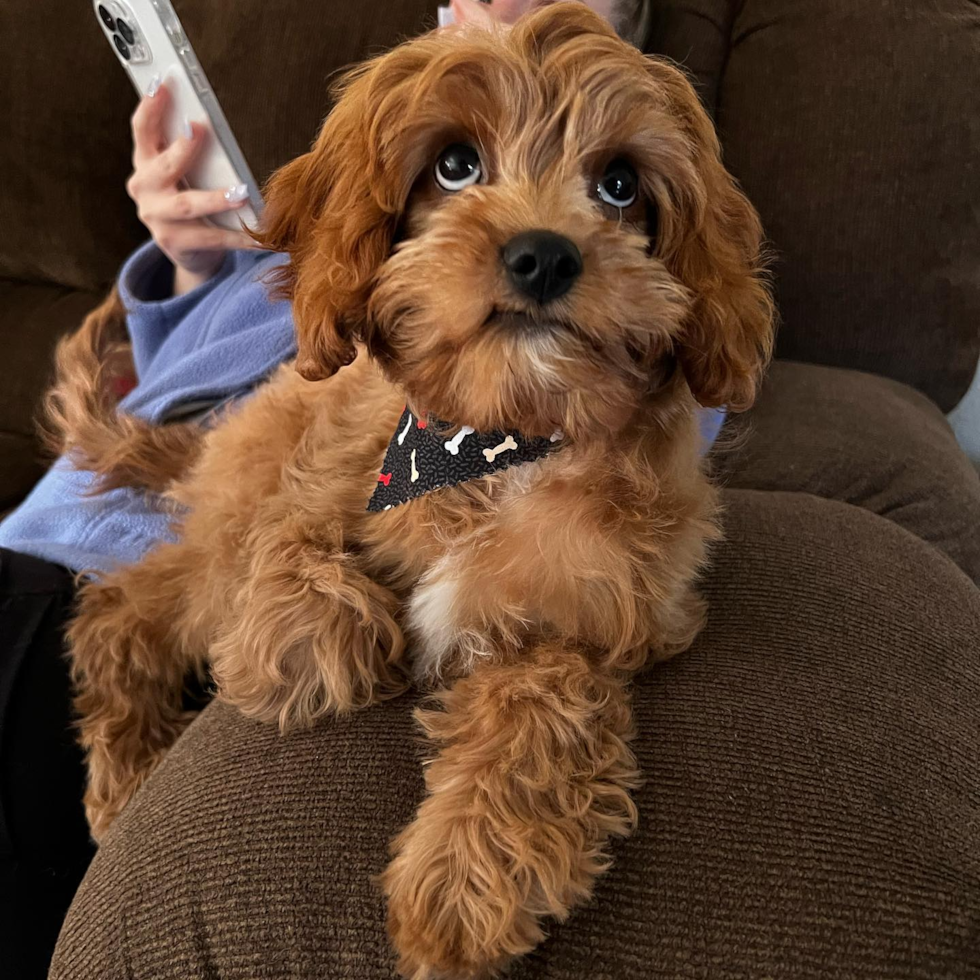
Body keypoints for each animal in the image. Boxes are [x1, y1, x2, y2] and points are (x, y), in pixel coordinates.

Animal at [53, 5, 772, 972]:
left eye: (620, 184)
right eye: (456, 165)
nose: (543, 256)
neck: (496, 439)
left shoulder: (600, 617)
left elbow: (544, 702)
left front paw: (463, 889)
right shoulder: (322, 475)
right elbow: (298, 569)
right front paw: (325, 645)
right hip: (229, 517)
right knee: (123, 608)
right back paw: (125, 768)